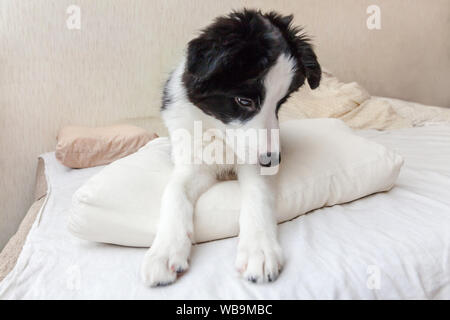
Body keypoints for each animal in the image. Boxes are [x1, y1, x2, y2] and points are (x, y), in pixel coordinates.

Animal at [141, 8, 320, 286]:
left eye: (280, 103)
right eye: (244, 101)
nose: (274, 160)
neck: (219, 134)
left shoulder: (256, 162)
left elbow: (257, 195)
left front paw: (259, 251)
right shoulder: (193, 162)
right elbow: (174, 192)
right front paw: (164, 252)